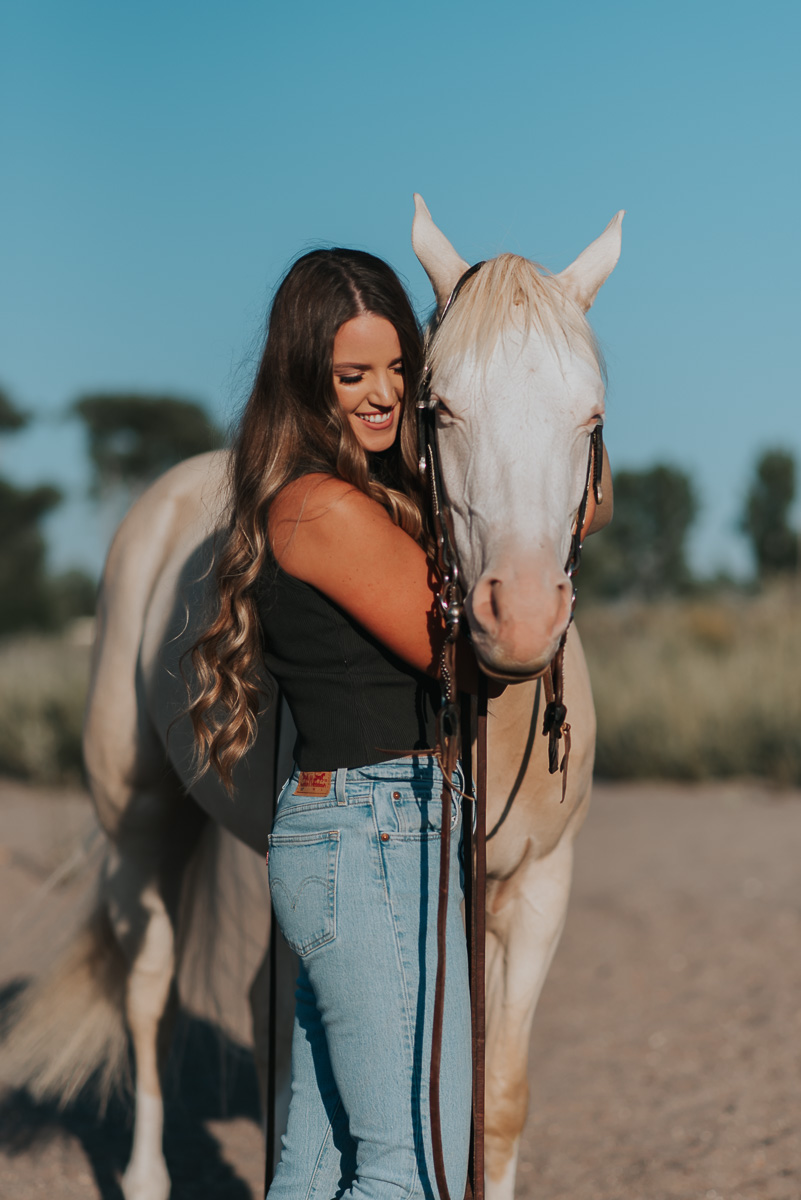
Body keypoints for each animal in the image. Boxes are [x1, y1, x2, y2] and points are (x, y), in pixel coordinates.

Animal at [7, 196, 622, 1200]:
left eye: (589, 415)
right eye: (440, 407)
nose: (521, 615)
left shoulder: (536, 893)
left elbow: (492, 1102)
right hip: (140, 822)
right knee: (149, 995)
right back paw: (144, 1174)